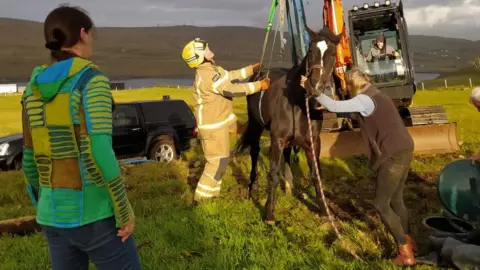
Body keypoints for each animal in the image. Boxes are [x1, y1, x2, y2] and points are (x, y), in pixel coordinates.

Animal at [233, 25, 342, 224]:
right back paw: (252, 186)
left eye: (332, 54)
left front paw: (324, 212)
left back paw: (288, 185)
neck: (299, 103)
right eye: (310, 51)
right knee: (254, 151)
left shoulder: (313, 143)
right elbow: (274, 174)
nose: (314, 86)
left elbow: (316, 175)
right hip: (256, 125)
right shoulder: (277, 139)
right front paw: (269, 214)